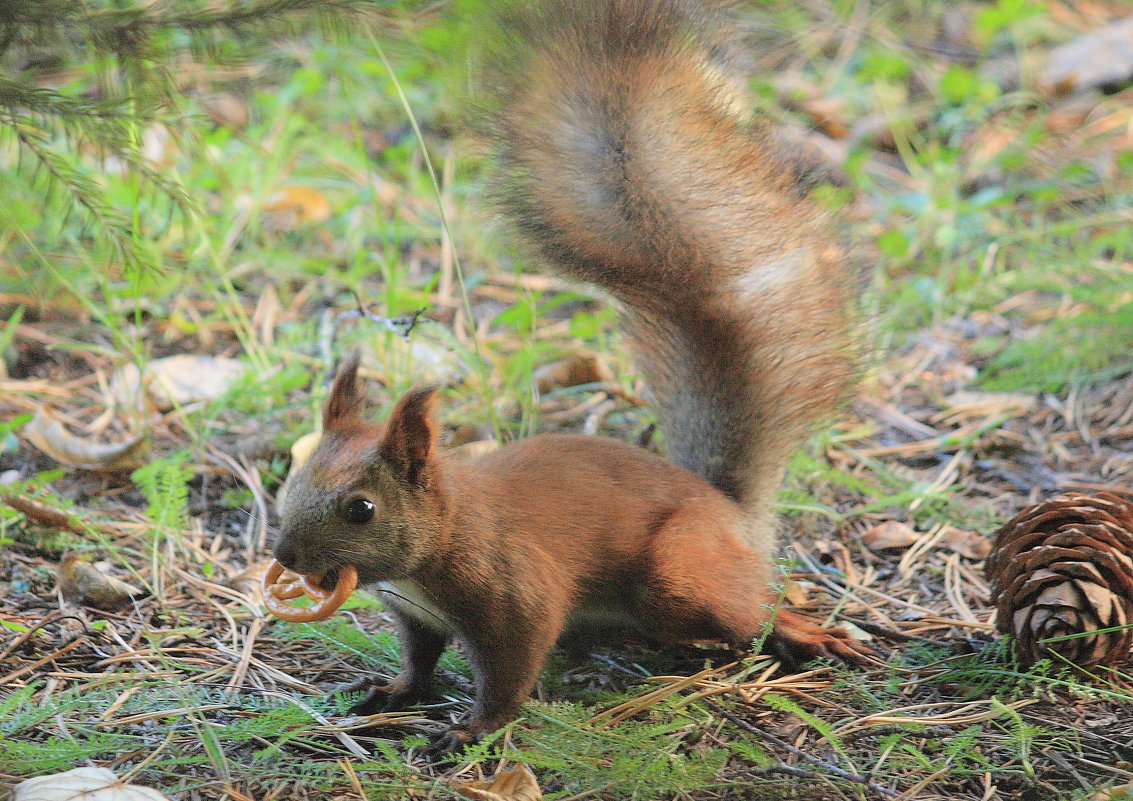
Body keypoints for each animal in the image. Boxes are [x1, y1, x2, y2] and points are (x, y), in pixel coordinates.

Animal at [271, 0, 865, 752]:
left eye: (361, 509)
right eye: (292, 480)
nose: (287, 555)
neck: (444, 535)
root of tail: (730, 509)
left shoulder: (515, 592)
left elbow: (513, 666)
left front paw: (475, 728)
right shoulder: (415, 612)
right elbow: (419, 658)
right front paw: (395, 691)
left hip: (679, 573)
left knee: (750, 605)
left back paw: (801, 631)